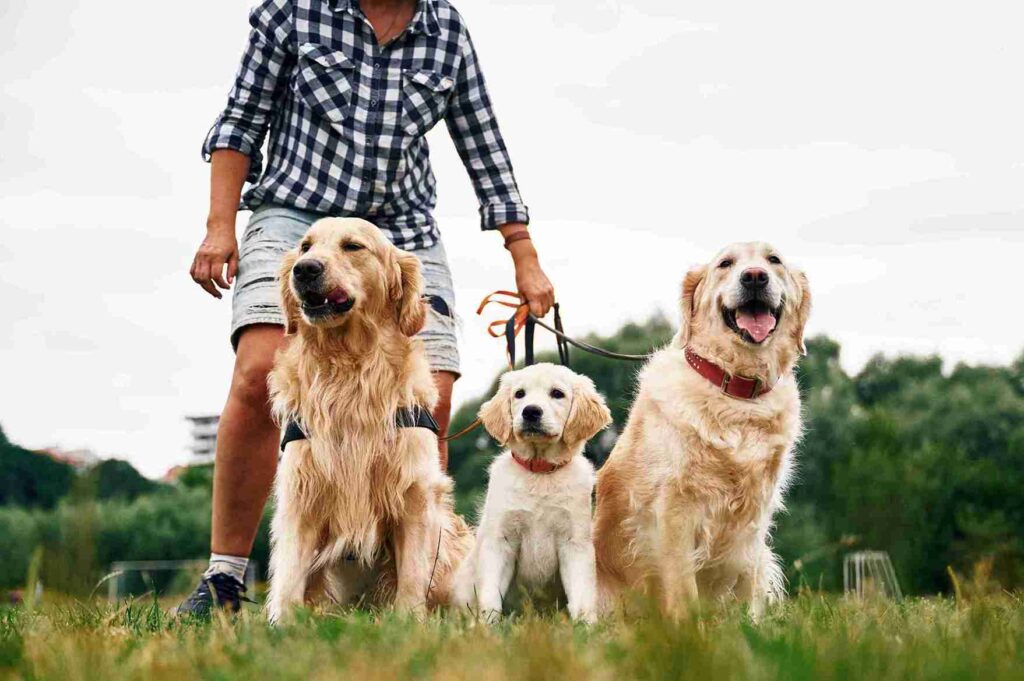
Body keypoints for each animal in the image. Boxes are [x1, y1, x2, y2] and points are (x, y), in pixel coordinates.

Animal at [264, 216, 471, 622]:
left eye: (353, 246)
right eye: (305, 246)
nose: (305, 269)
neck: (348, 369)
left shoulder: (413, 493)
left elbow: (411, 574)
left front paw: (408, 622)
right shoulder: (301, 494)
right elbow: (290, 577)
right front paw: (284, 626)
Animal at [452, 364, 610, 622]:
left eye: (557, 393)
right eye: (519, 394)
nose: (531, 412)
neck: (539, 472)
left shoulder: (574, 542)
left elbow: (581, 593)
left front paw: (585, 625)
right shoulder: (500, 540)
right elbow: (491, 594)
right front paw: (487, 625)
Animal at [593, 240, 806, 614]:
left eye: (774, 260)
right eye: (725, 263)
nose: (755, 277)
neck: (736, 393)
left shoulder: (755, 517)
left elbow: (747, 590)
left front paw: (750, 626)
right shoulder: (674, 510)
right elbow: (682, 590)